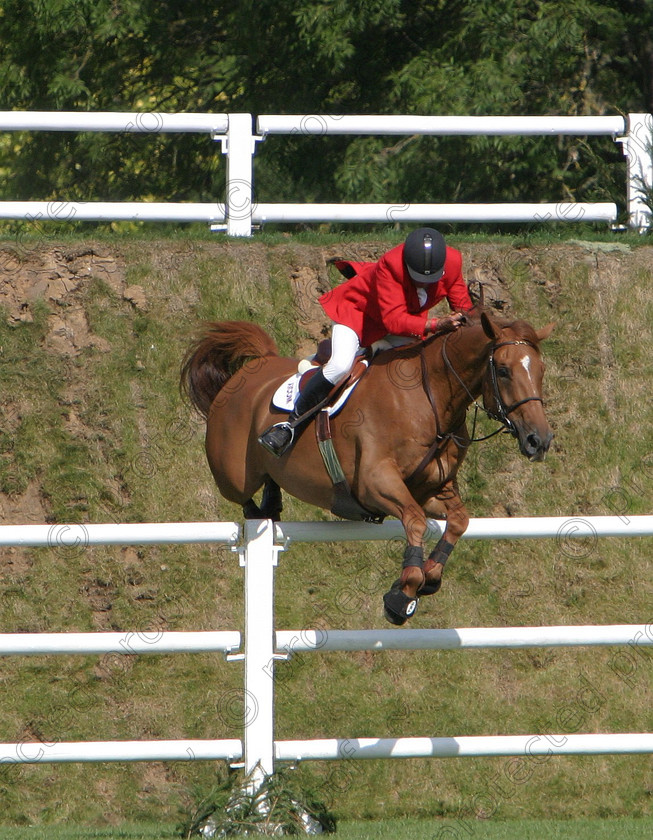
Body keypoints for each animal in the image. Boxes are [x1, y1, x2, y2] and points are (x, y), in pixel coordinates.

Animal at [181, 308, 552, 624]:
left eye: (541, 371)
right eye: (503, 371)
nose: (540, 440)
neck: (432, 400)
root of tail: (259, 363)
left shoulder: (432, 489)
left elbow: (459, 520)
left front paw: (430, 577)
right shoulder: (375, 483)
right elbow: (415, 521)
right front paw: (403, 594)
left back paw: (273, 503)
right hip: (232, 474)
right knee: (244, 499)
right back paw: (266, 497)